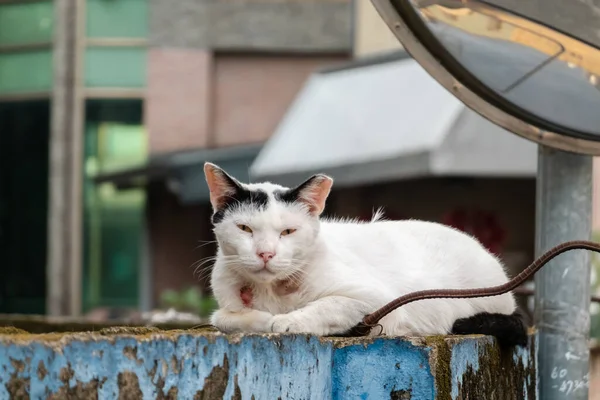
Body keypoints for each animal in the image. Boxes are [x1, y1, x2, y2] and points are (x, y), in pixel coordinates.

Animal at [204, 164, 528, 346]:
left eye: (288, 232)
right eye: (245, 228)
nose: (265, 254)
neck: (271, 291)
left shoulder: (377, 300)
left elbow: (328, 305)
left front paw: (288, 320)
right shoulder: (225, 302)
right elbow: (224, 318)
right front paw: (260, 319)